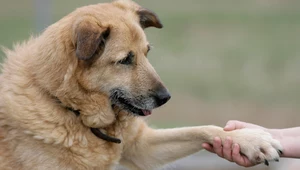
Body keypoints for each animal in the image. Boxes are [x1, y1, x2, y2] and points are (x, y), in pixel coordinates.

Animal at [0, 0, 282, 169]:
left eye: (147, 52)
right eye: (125, 59)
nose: (166, 98)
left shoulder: (142, 147)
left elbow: (201, 128)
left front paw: (247, 139)